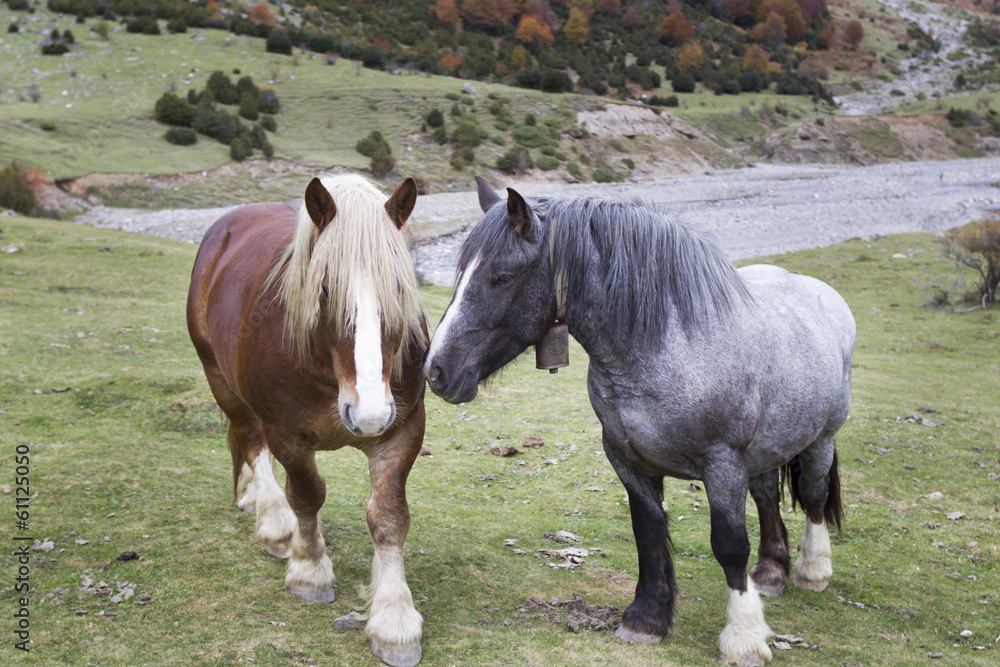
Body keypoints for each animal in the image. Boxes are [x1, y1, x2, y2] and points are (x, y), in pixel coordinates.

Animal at [186, 174, 428, 667]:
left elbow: (389, 517)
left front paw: (394, 618)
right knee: (250, 441)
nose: (370, 413)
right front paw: (309, 569)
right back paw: (274, 521)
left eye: (400, 288)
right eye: (325, 291)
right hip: (219, 377)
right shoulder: (288, 435)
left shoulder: (402, 432)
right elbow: (306, 495)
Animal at [423, 176, 855, 666]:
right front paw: (647, 619)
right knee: (766, 497)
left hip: (821, 438)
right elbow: (648, 533)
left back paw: (812, 569)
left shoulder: (722, 465)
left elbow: (729, 545)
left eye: (501, 277)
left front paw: (744, 637)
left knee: (814, 496)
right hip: (765, 448)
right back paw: (770, 572)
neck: (668, 348)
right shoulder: (627, 459)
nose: (435, 371)